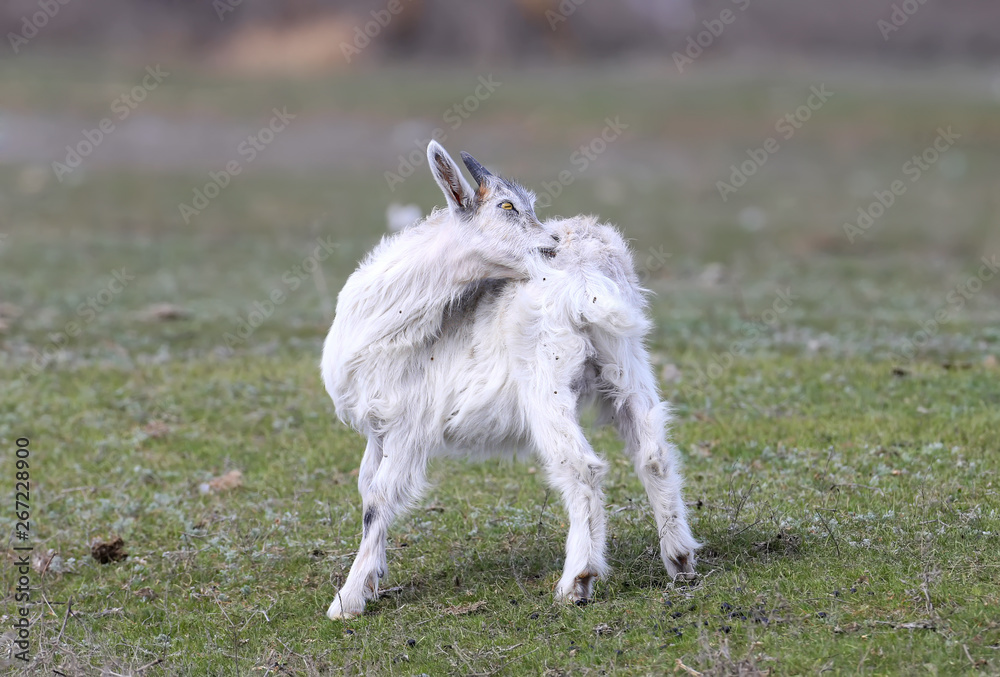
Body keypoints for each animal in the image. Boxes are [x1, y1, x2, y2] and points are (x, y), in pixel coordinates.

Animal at [320, 141, 698, 619]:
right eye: (507, 205)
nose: (551, 245)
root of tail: (587, 270)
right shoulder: (380, 428)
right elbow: (365, 487)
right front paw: (375, 578)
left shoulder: (409, 423)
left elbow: (378, 499)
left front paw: (348, 599)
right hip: (626, 361)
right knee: (653, 452)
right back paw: (680, 560)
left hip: (545, 379)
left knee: (582, 466)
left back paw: (577, 581)